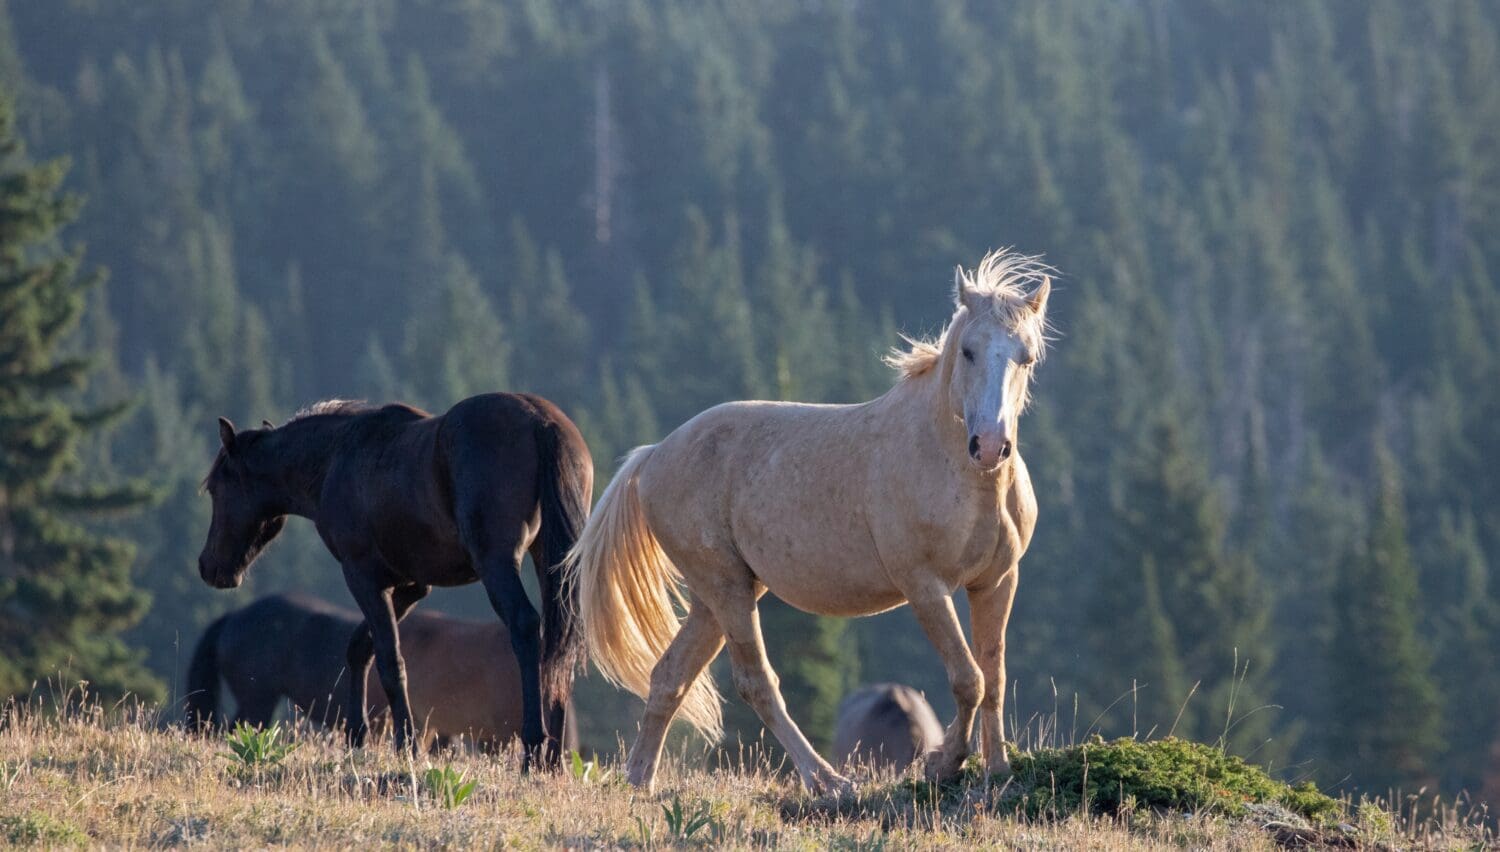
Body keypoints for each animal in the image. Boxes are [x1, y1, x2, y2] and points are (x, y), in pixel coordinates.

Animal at [564, 252, 1056, 792]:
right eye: (968, 351)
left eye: (1026, 357)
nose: (989, 446)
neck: (959, 472)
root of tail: (654, 454)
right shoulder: (926, 587)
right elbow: (968, 678)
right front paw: (943, 764)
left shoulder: (996, 581)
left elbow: (994, 677)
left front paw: (998, 771)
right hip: (727, 590)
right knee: (757, 683)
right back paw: (828, 782)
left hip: (718, 597)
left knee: (669, 677)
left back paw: (641, 780)